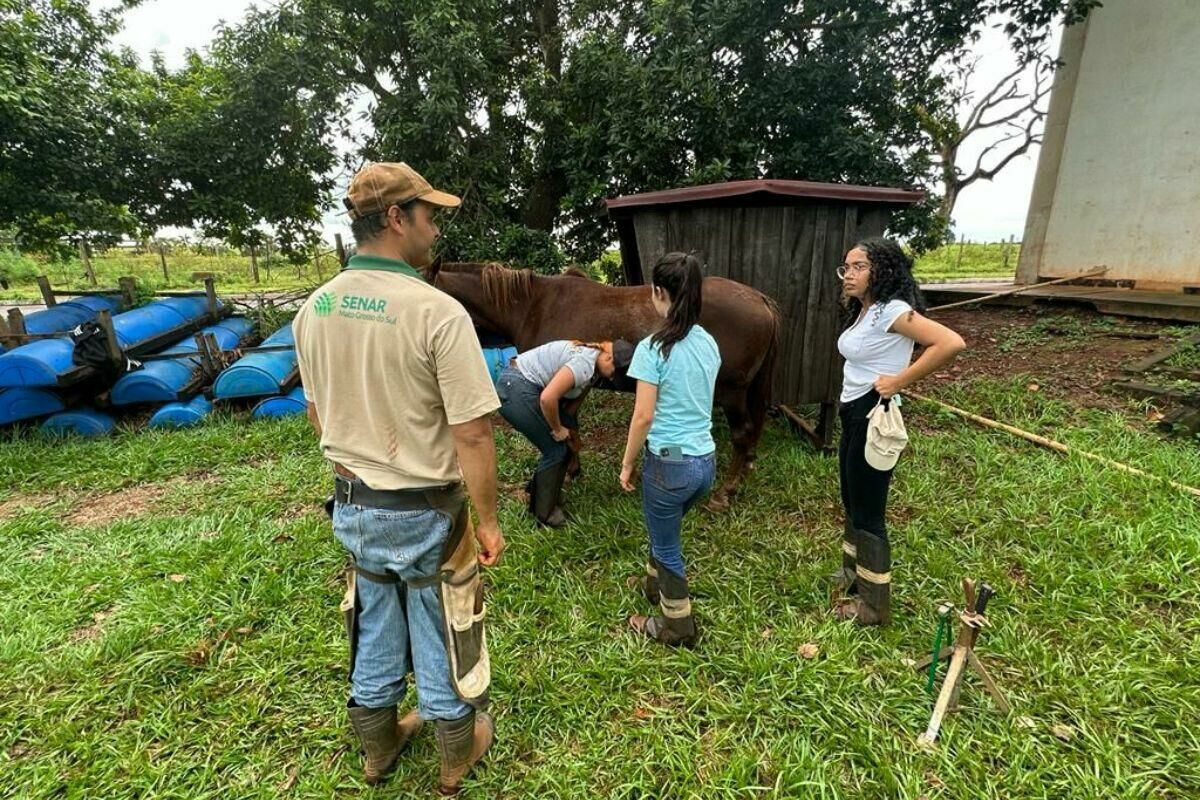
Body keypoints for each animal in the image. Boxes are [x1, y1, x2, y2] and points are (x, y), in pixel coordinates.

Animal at [429, 266, 777, 510]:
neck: (534, 306)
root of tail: (760, 299)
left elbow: (563, 427)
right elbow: (570, 425)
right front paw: (573, 470)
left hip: (731, 392)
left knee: (742, 434)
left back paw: (724, 492)